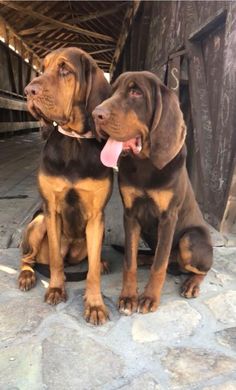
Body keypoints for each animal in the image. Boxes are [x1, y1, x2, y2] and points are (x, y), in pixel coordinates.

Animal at [18, 47, 113, 324]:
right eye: (42, 68)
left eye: (64, 69)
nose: (28, 90)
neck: (74, 141)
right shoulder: (51, 210)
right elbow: (55, 264)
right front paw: (56, 289)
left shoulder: (96, 216)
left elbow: (91, 272)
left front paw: (95, 304)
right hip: (38, 223)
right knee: (27, 257)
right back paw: (27, 275)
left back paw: (103, 263)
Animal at [92, 69, 214, 314]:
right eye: (112, 92)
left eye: (136, 92)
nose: (96, 114)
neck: (145, 163)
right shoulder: (130, 215)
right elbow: (129, 261)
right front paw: (128, 297)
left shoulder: (168, 218)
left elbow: (159, 266)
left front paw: (149, 298)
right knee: (154, 257)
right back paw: (144, 259)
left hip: (190, 240)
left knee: (199, 269)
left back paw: (191, 284)